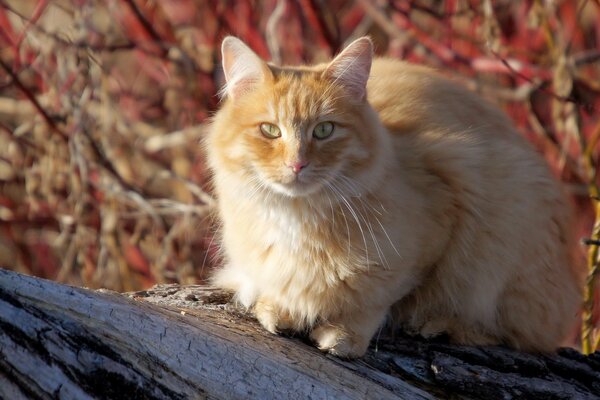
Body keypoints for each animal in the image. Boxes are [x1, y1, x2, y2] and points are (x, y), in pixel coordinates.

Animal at [204, 36, 584, 358]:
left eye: (324, 130)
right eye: (270, 130)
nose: (297, 163)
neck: (297, 218)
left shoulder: (438, 227)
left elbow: (374, 301)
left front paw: (344, 335)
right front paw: (279, 310)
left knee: (517, 334)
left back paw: (441, 325)